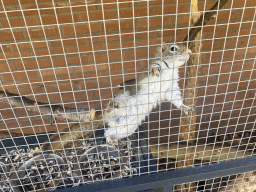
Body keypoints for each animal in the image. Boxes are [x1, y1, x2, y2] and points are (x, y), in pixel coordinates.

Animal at [42, 42, 193, 151]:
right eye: (173, 48)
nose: (189, 52)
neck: (170, 69)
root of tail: (105, 116)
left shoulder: (170, 86)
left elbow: (175, 97)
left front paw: (184, 107)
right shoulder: (145, 78)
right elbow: (151, 73)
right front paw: (155, 70)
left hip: (125, 128)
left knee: (108, 132)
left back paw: (111, 139)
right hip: (123, 99)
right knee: (111, 113)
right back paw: (110, 107)